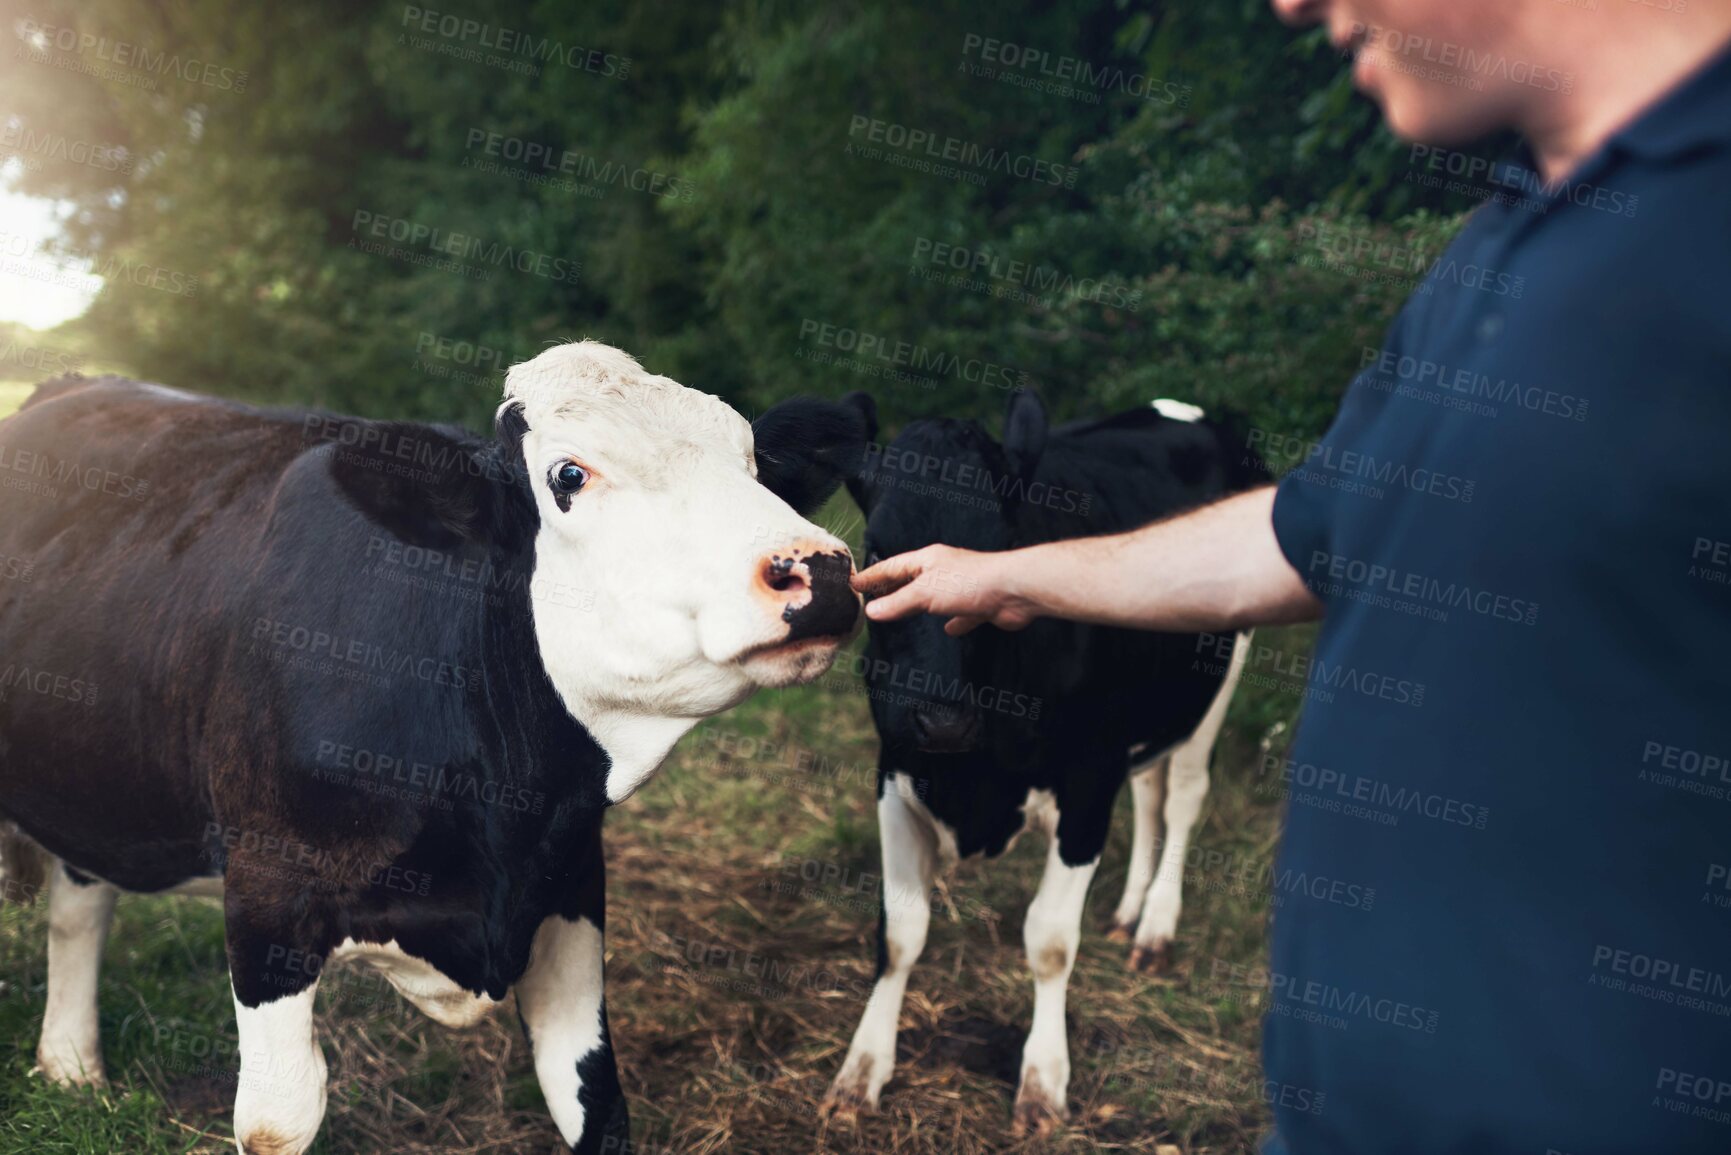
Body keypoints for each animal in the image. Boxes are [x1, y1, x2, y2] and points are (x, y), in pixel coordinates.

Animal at [0, 341, 872, 1155]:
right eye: (568, 474)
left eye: (752, 463)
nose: (820, 568)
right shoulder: (269, 890)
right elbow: (280, 1116)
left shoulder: (568, 875)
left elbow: (591, 1095)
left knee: (80, 895)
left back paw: (72, 1067)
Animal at [823, 388, 1269, 1132]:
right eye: (878, 549)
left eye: (1003, 552)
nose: (942, 718)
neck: (970, 774)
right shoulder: (896, 769)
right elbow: (901, 930)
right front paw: (861, 1071)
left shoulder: (1087, 784)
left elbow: (1050, 941)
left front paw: (1042, 1079)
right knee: (1149, 791)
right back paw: (1128, 910)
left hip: (1220, 674)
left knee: (1181, 793)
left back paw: (1156, 925)